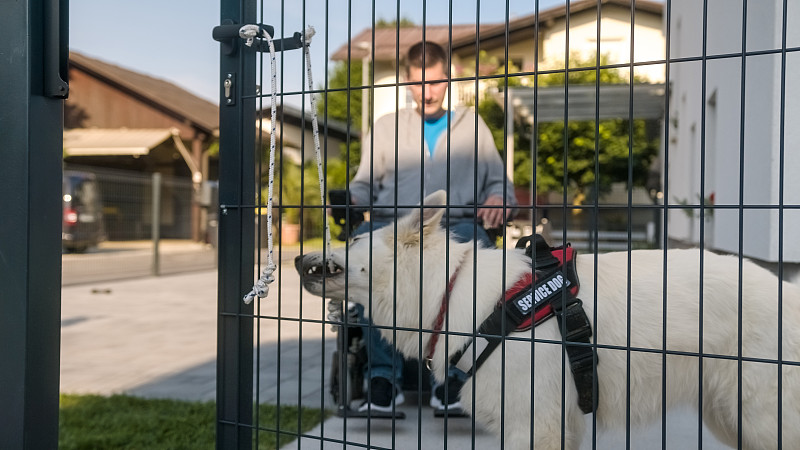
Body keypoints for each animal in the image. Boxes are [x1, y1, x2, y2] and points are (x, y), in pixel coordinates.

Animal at [296, 191, 800, 450]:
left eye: (352, 243)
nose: (298, 258)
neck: (450, 287)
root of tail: (789, 293)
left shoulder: (533, 426)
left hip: (759, 420)